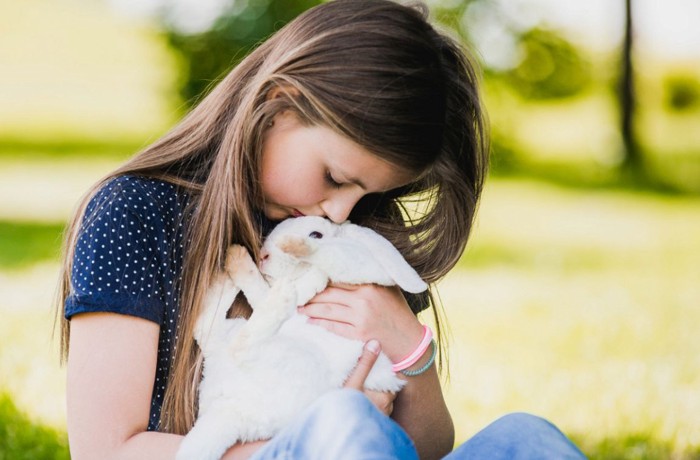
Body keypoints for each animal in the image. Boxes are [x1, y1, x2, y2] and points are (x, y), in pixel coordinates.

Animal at [176, 216, 426, 460]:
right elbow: (261, 289)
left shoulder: (357, 264)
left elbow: (334, 253)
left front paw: (293, 246)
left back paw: (275, 293)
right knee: (210, 332)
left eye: (316, 233)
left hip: (289, 363)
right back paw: (234, 263)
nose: (263, 255)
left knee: (237, 346)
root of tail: (225, 408)